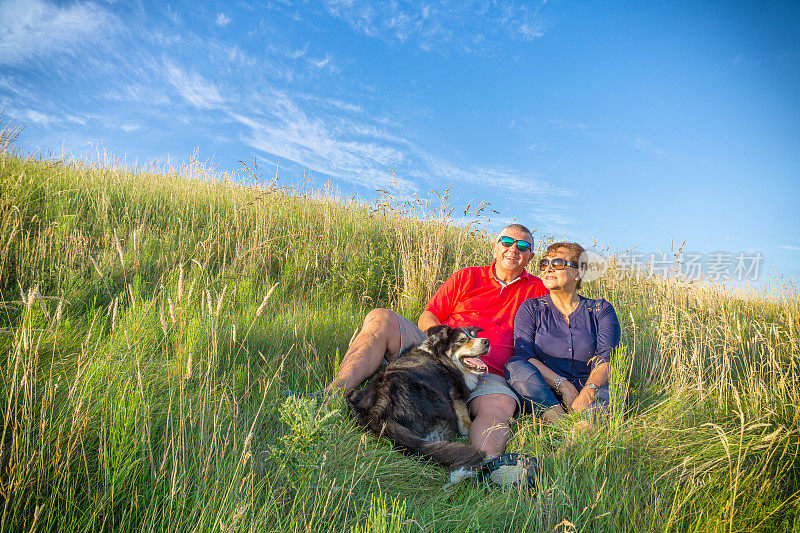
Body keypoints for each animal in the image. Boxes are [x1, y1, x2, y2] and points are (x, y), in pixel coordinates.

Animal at [348, 324, 490, 470]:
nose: (487, 342)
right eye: (462, 340)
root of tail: (376, 412)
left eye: (474, 335)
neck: (442, 358)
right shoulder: (460, 408)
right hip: (443, 408)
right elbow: (468, 425)